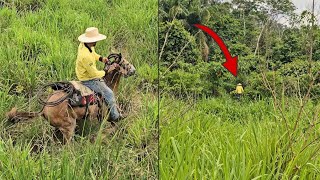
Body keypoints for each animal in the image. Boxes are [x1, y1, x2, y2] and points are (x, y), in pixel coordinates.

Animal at [6, 53, 136, 142]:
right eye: (125, 63)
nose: (134, 70)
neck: (108, 83)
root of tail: (44, 109)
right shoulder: (104, 115)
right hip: (69, 127)